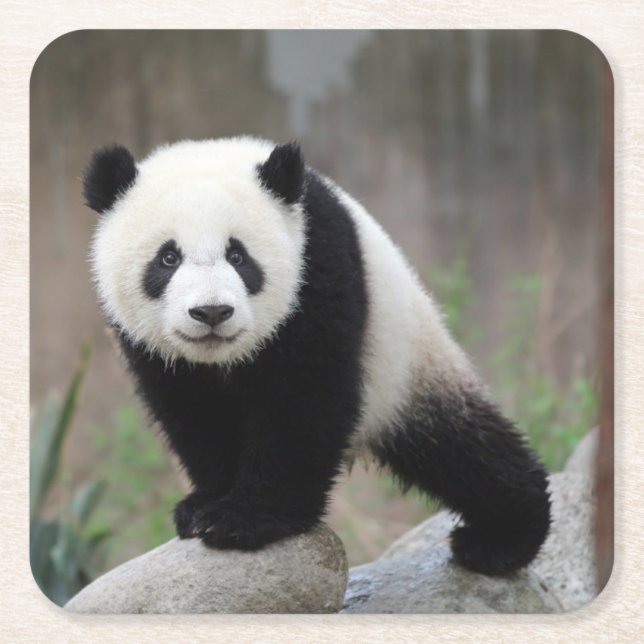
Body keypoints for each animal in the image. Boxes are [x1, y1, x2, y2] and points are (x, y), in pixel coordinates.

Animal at [83, 136, 551, 576]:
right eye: (168, 258)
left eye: (238, 255)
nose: (212, 312)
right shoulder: (154, 349)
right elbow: (193, 412)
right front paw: (204, 505)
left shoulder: (318, 265)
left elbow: (305, 398)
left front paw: (245, 520)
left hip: (406, 362)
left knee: (462, 447)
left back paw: (501, 539)